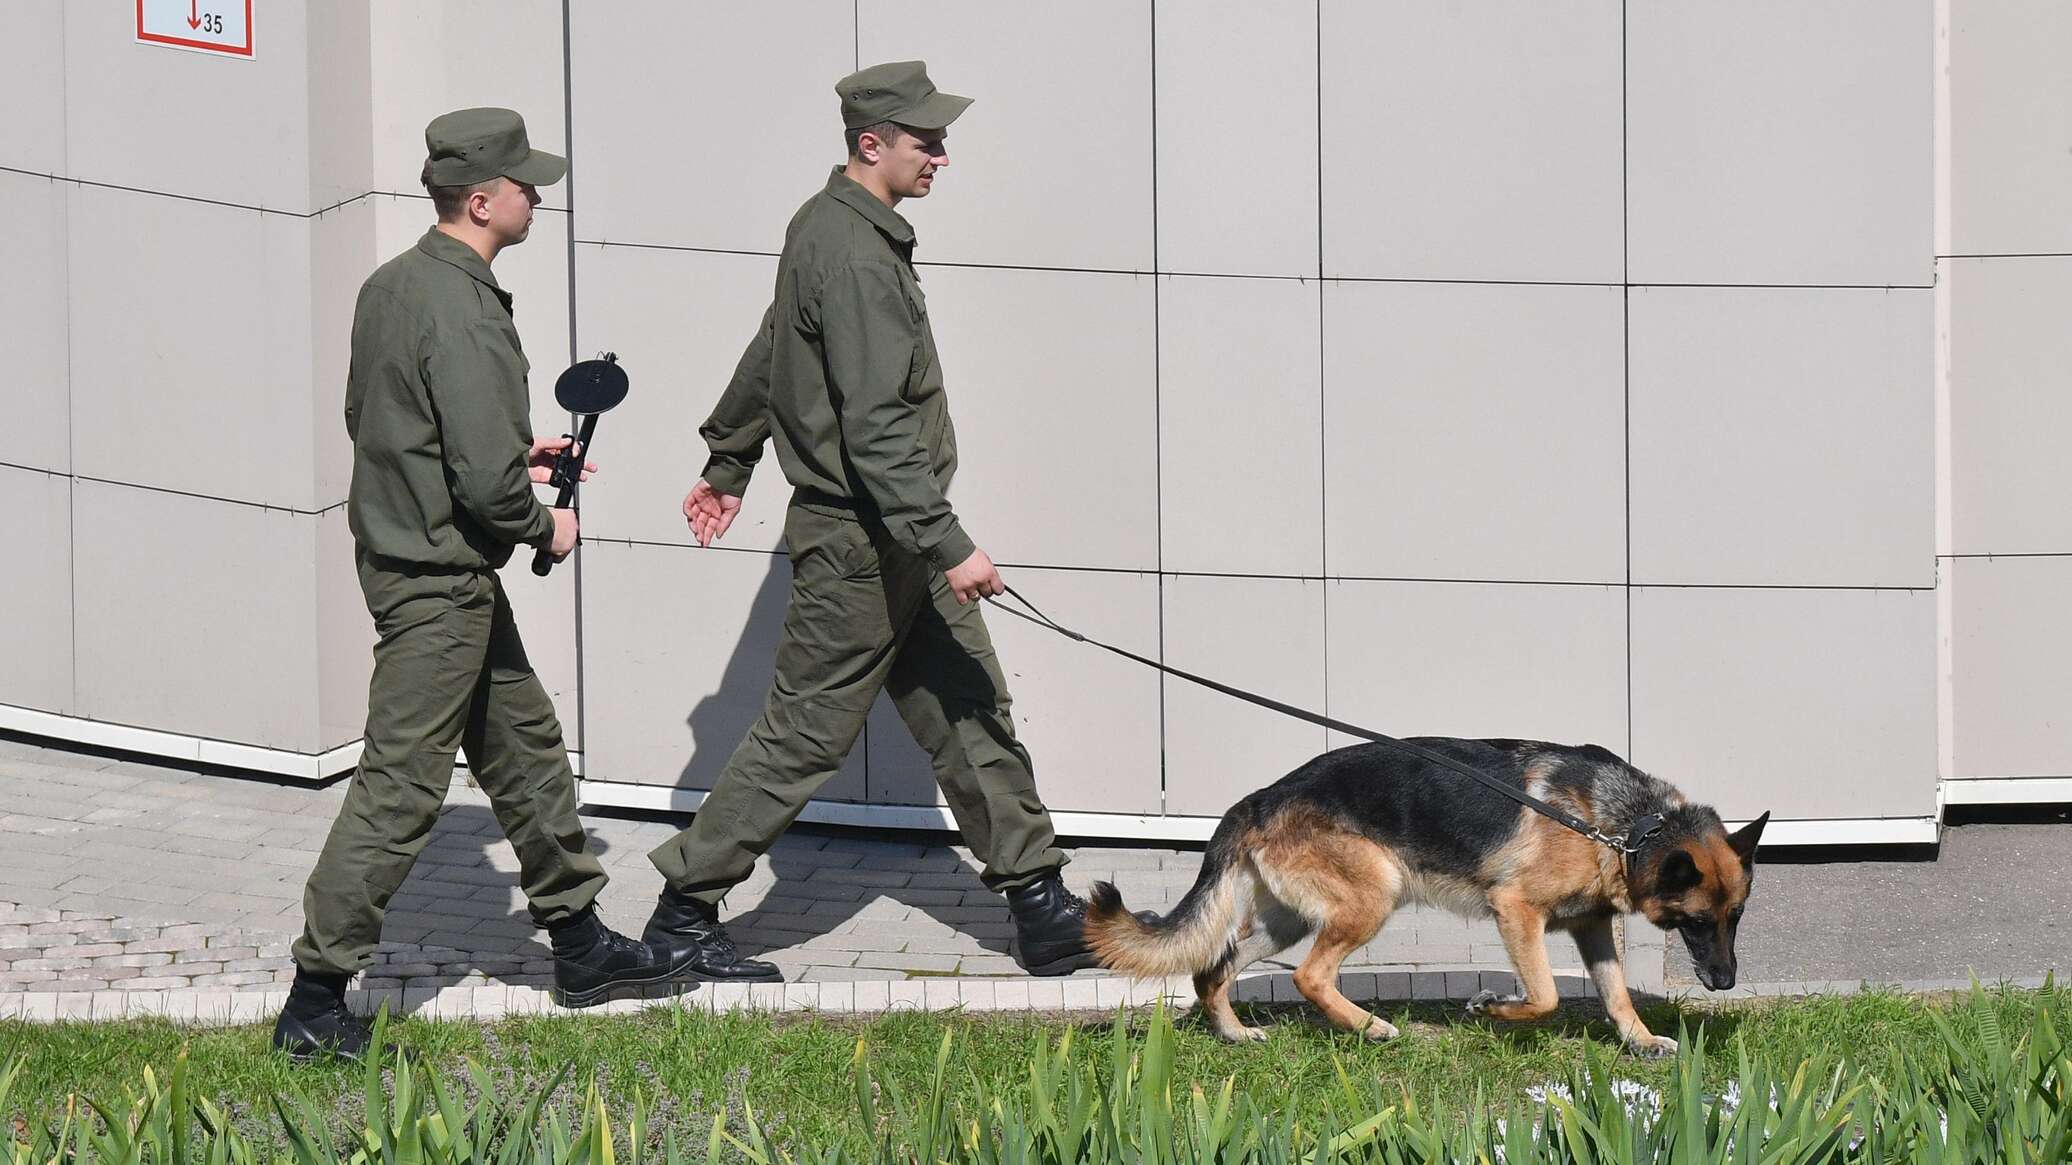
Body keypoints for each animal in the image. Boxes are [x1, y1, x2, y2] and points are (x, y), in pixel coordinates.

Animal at [1085, 737, 1765, 1057]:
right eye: (1697, 922)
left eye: (1735, 918)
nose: (1727, 983)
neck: (1628, 827)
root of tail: (1256, 799)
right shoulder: (1516, 911)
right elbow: (1545, 996)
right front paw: (1493, 1010)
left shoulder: (1592, 926)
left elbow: (1617, 994)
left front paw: (1642, 1042)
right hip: (1372, 898)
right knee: (1308, 976)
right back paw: (1372, 1028)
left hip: (1286, 923)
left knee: (1212, 969)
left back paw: (1233, 1035)